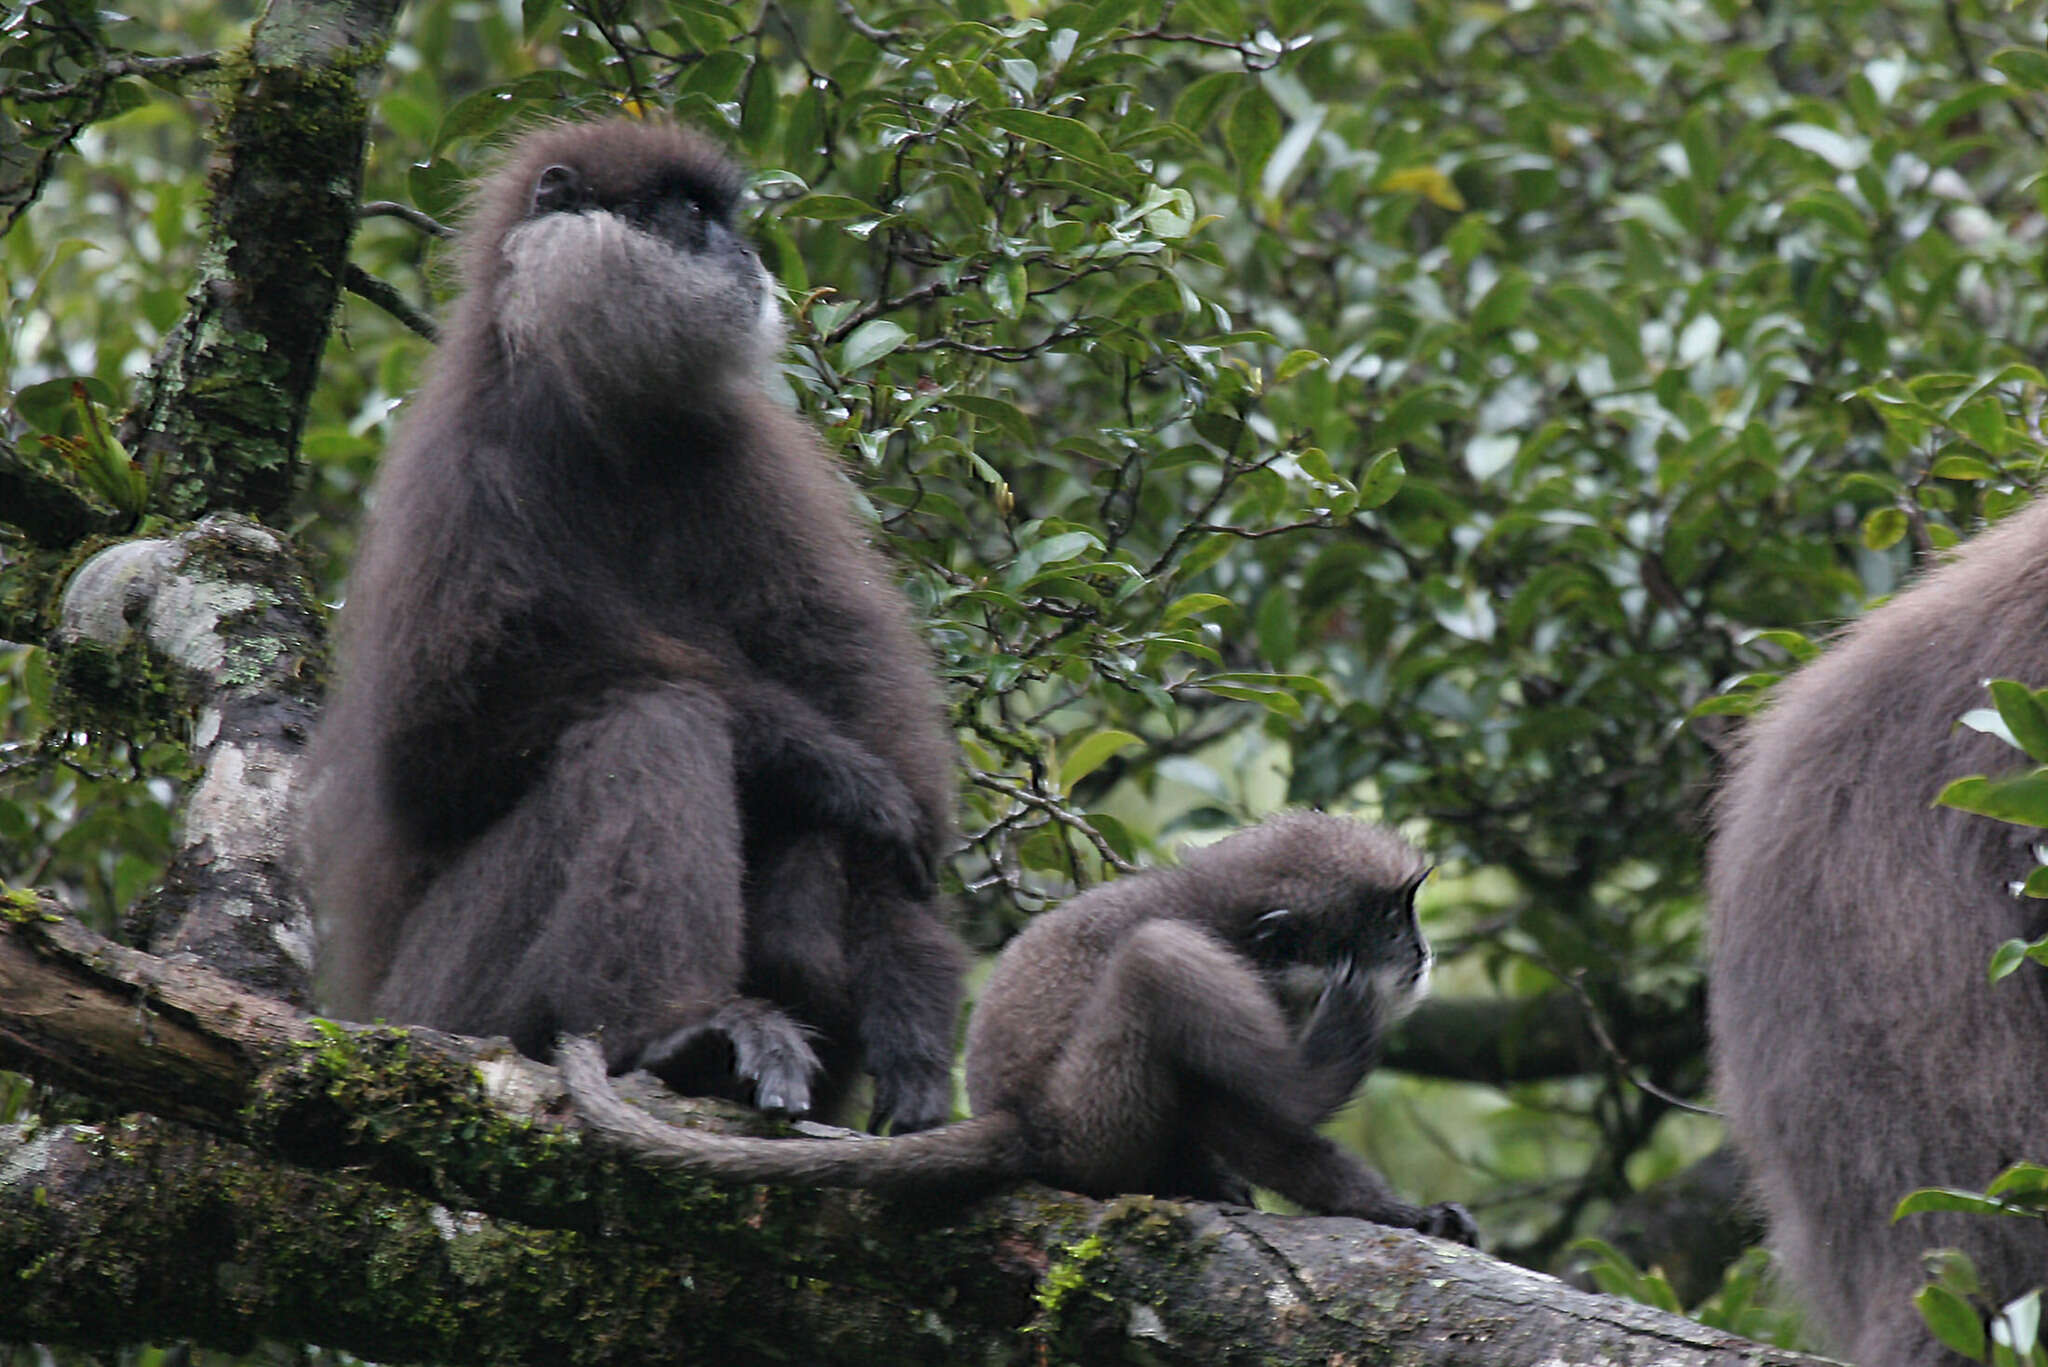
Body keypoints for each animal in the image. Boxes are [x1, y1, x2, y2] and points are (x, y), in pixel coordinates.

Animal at [303, 117, 966, 1131]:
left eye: (723, 215)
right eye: (689, 213)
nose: (745, 254)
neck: (608, 426)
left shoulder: (744, 453)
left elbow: (888, 750)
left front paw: (916, 1016)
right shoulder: (473, 460)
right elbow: (442, 738)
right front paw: (818, 758)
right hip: (449, 1001)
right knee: (655, 719)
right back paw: (679, 1031)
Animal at [569, 811, 1482, 1254]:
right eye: (1389, 921)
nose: (1419, 949)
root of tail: (1021, 1118)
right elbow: (1256, 1118)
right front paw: (1399, 1212)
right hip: (1094, 1115)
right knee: (1157, 961)